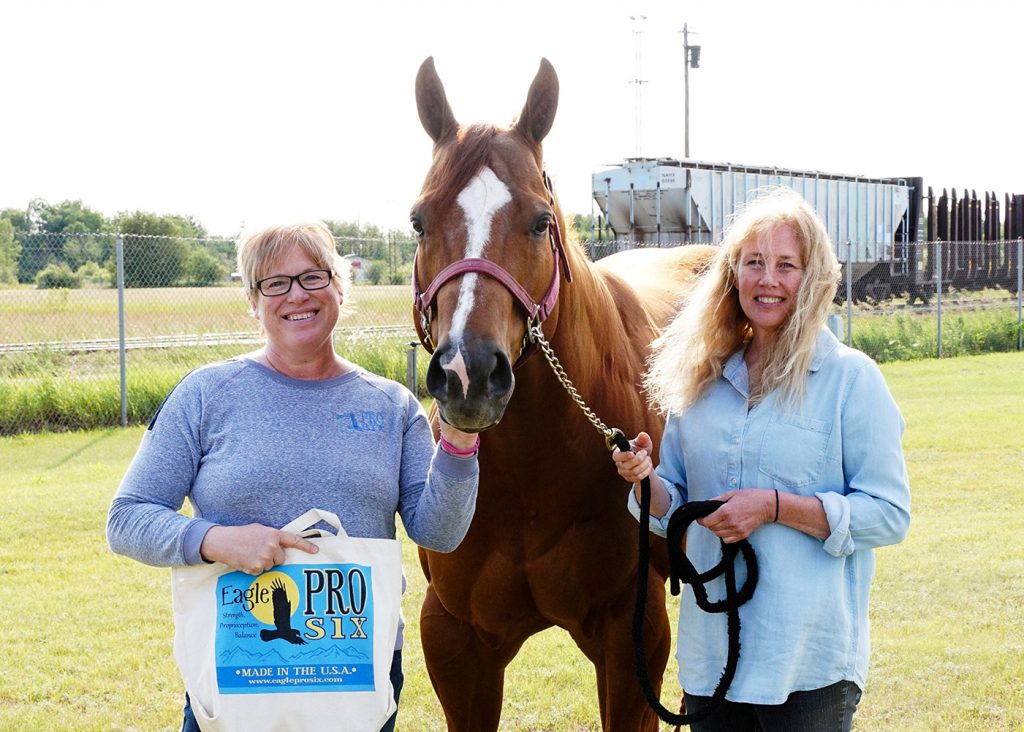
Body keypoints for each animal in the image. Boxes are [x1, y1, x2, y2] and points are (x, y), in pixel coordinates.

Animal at [407, 54, 712, 728]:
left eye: (539, 221)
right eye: (418, 222)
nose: (469, 373)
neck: (531, 479)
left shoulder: (631, 637)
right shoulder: (455, 640)